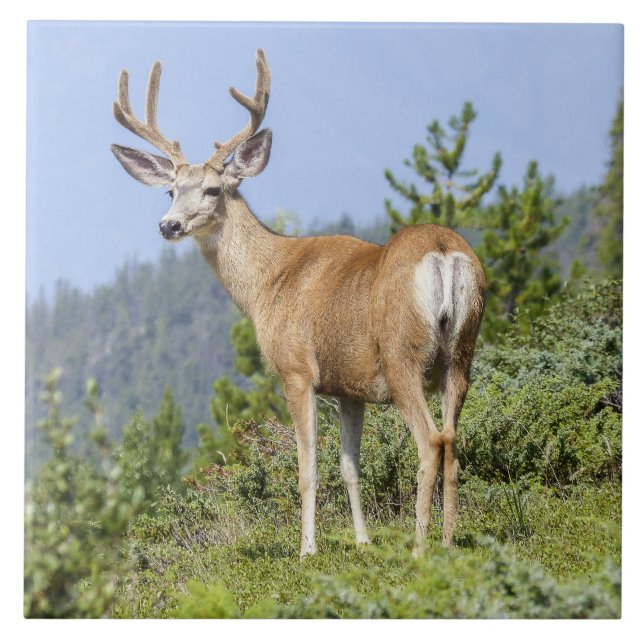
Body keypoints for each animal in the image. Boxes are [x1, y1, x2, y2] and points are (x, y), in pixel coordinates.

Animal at [110, 49, 485, 558]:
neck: (267, 283)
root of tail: (444, 254)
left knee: (430, 441)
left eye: (212, 189)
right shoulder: (349, 386)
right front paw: (362, 541)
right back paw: (447, 543)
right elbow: (349, 466)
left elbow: (307, 467)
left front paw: (307, 549)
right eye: (171, 190)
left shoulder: (296, 368)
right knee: (452, 440)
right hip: (462, 352)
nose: (168, 225)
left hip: (402, 354)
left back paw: (419, 548)